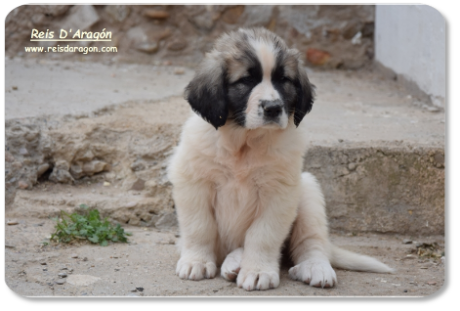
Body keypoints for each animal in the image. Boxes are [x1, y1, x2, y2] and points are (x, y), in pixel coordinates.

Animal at [167, 27, 394, 292]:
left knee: (312, 243)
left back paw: (315, 268)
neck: (244, 143)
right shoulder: (193, 181)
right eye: (245, 81)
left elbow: (262, 235)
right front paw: (197, 261)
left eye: (283, 80)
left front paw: (257, 271)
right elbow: (199, 227)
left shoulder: (279, 192)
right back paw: (233, 263)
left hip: (307, 190)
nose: (273, 108)